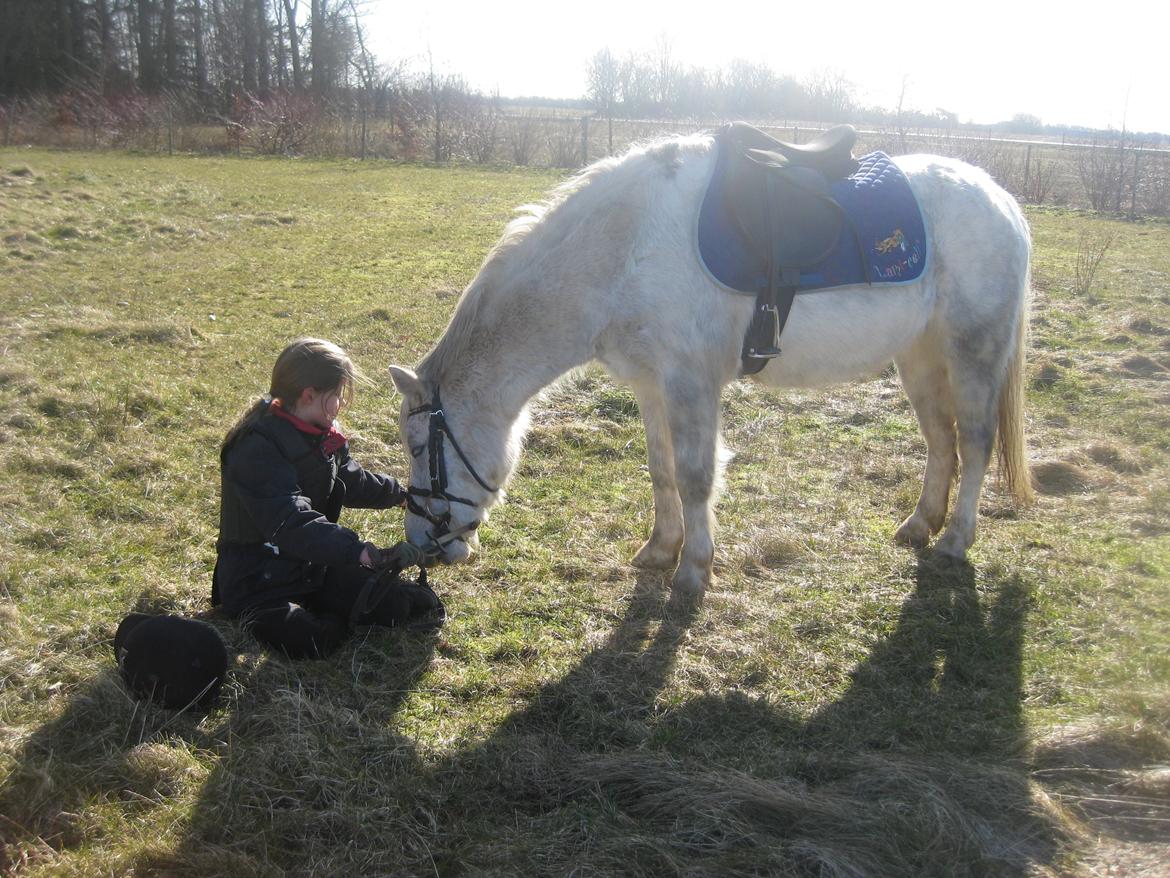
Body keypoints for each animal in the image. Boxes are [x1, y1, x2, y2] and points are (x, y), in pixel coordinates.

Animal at [388, 130, 1029, 599]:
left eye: (420, 447)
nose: (422, 544)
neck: (625, 250)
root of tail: (1002, 200)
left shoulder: (690, 383)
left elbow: (696, 476)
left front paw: (694, 571)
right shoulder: (650, 385)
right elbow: (662, 469)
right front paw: (660, 550)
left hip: (973, 352)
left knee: (974, 443)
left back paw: (955, 540)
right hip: (919, 359)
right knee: (941, 442)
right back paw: (920, 526)